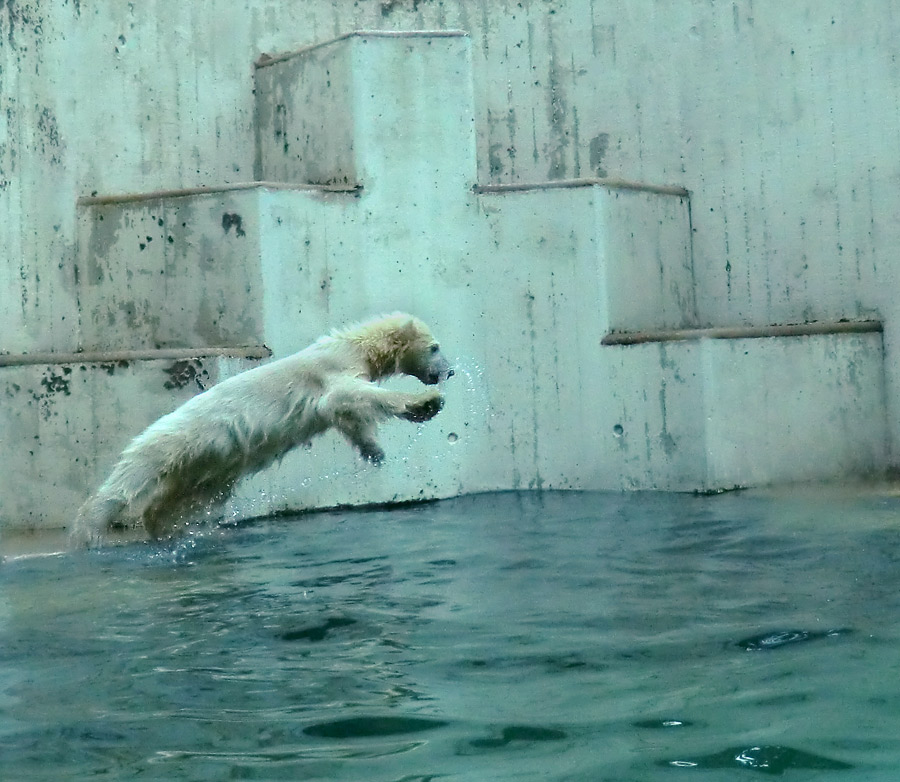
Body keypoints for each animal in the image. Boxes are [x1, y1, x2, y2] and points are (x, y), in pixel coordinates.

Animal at [71, 316, 454, 548]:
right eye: (435, 347)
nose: (449, 371)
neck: (357, 344)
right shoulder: (331, 369)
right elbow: (349, 395)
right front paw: (426, 403)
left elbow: (346, 414)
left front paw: (374, 451)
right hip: (178, 440)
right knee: (128, 481)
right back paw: (89, 532)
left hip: (210, 465)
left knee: (188, 498)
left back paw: (174, 530)